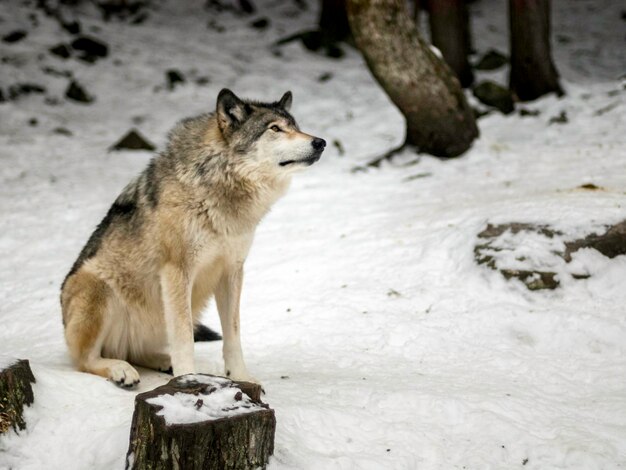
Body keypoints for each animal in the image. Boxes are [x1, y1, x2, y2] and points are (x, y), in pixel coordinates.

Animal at [61, 90, 326, 388]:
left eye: (296, 126)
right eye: (275, 129)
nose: (320, 142)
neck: (219, 187)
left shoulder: (232, 271)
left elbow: (233, 335)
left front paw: (241, 377)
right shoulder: (177, 272)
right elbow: (184, 336)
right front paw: (187, 378)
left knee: (134, 351)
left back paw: (161, 362)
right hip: (96, 287)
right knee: (86, 360)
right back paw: (122, 370)